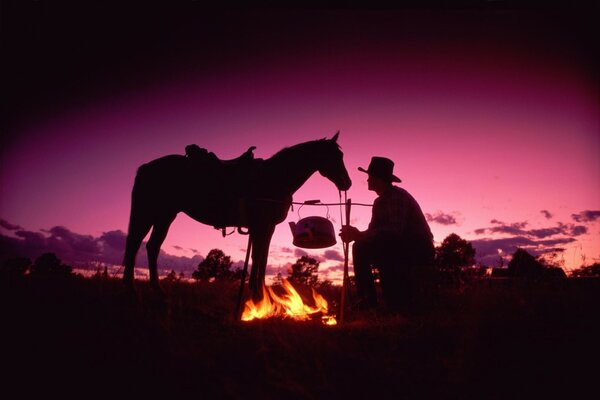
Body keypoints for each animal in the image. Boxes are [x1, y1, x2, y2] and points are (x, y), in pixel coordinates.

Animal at [122, 133, 352, 298]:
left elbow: (262, 258)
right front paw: (257, 294)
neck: (274, 177)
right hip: (149, 213)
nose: (347, 183)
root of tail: (147, 167)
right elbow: (258, 257)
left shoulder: (267, 227)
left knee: (152, 246)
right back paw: (131, 289)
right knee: (135, 243)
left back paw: (156, 290)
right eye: (335, 156)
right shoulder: (262, 226)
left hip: (165, 215)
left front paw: (259, 292)